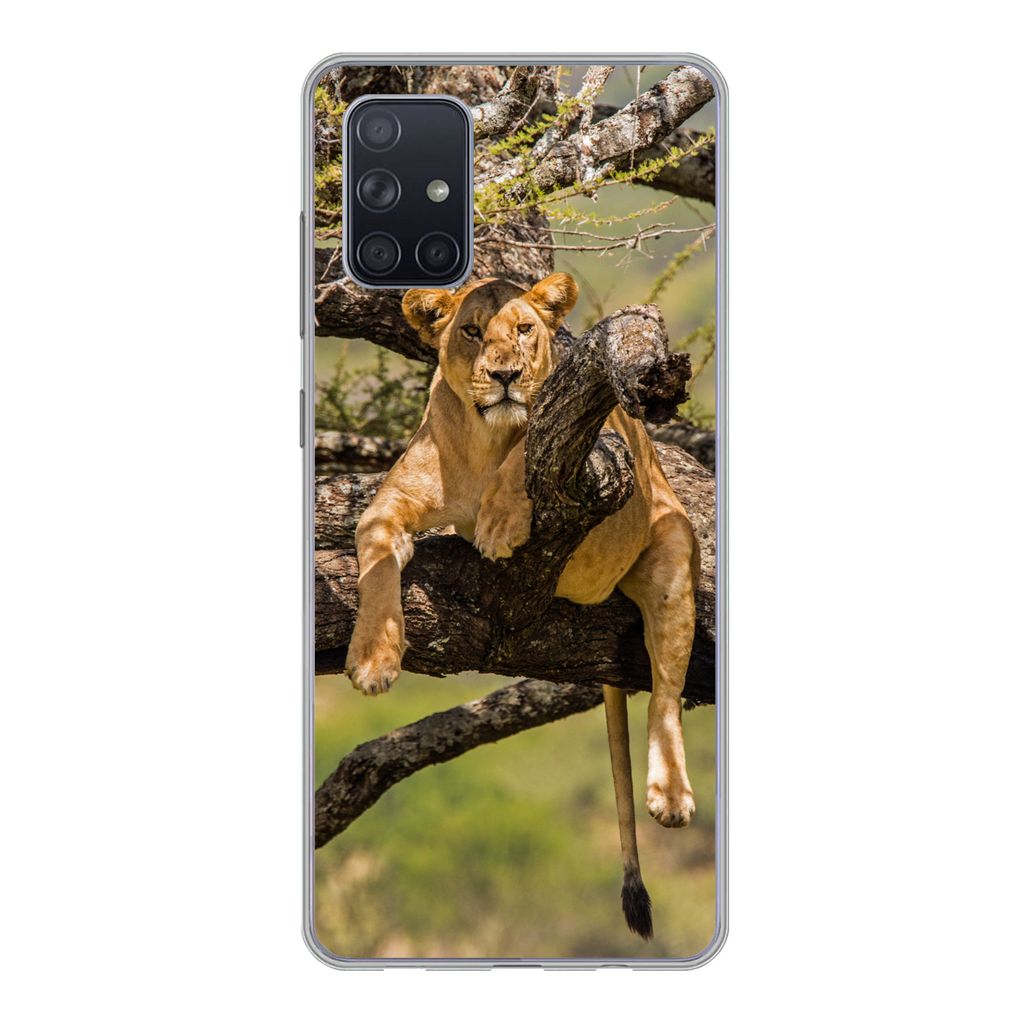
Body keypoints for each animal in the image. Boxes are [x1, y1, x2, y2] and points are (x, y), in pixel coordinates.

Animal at [345, 273, 700, 940]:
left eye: (525, 329)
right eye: (471, 331)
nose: (505, 373)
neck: (483, 441)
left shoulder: (594, 449)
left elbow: (527, 449)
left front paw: (501, 523)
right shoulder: (385, 510)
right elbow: (376, 569)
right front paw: (374, 660)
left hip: (669, 549)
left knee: (666, 694)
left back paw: (670, 794)